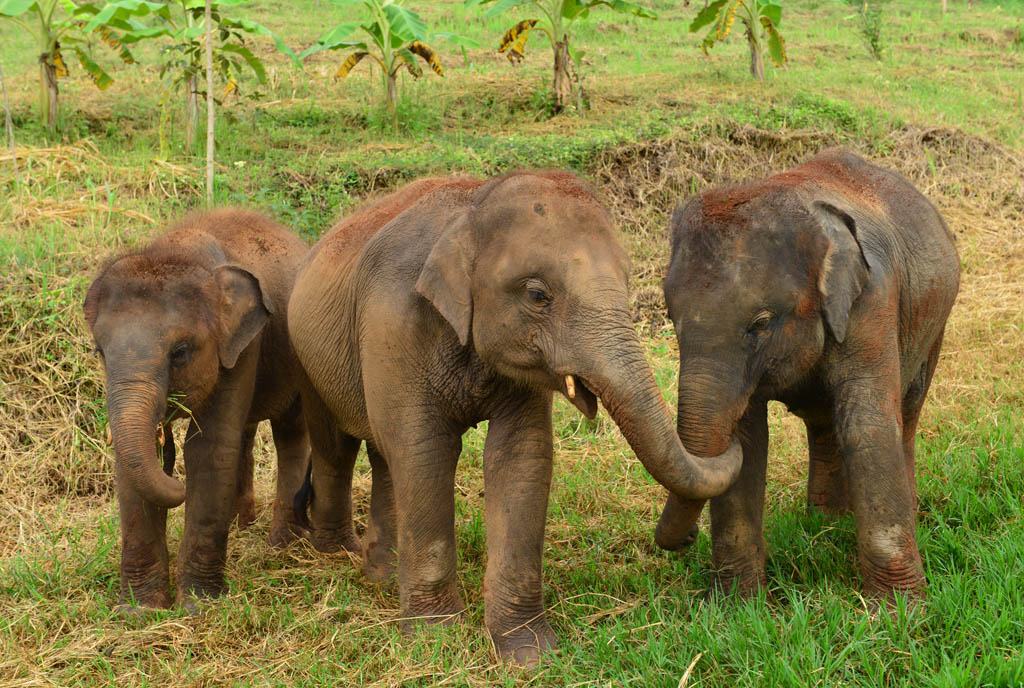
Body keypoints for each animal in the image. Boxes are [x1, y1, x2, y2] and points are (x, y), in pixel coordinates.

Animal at [84, 209, 310, 610]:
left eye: (180, 352)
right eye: (100, 352)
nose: (178, 486)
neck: (176, 251)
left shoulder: (242, 347)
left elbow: (207, 449)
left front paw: (198, 606)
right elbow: (137, 460)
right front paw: (139, 610)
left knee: (290, 433)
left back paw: (283, 547)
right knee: (245, 434)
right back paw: (241, 526)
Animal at [287, 172, 743, 666]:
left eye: (626, 282)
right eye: (537, 295)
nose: (689, 540)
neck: (472, 208)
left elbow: (521, 455)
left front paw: (530, 654)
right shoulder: (393, 324)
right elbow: (425, 453)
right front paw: (436, 642)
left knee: (384, 457)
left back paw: (383, 577)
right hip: (307, 357)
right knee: (339, 447)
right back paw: (337, 553)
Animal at [654, 150, 960, 600]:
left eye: (760, 323)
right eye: (672, 320)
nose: (689, 538)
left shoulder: (873, 300)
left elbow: (867, 425)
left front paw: (900, 609)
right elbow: (749, 437)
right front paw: (737, 606)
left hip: (934, 321)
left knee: (905, 412)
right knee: (824, 423)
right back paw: (825, 523)